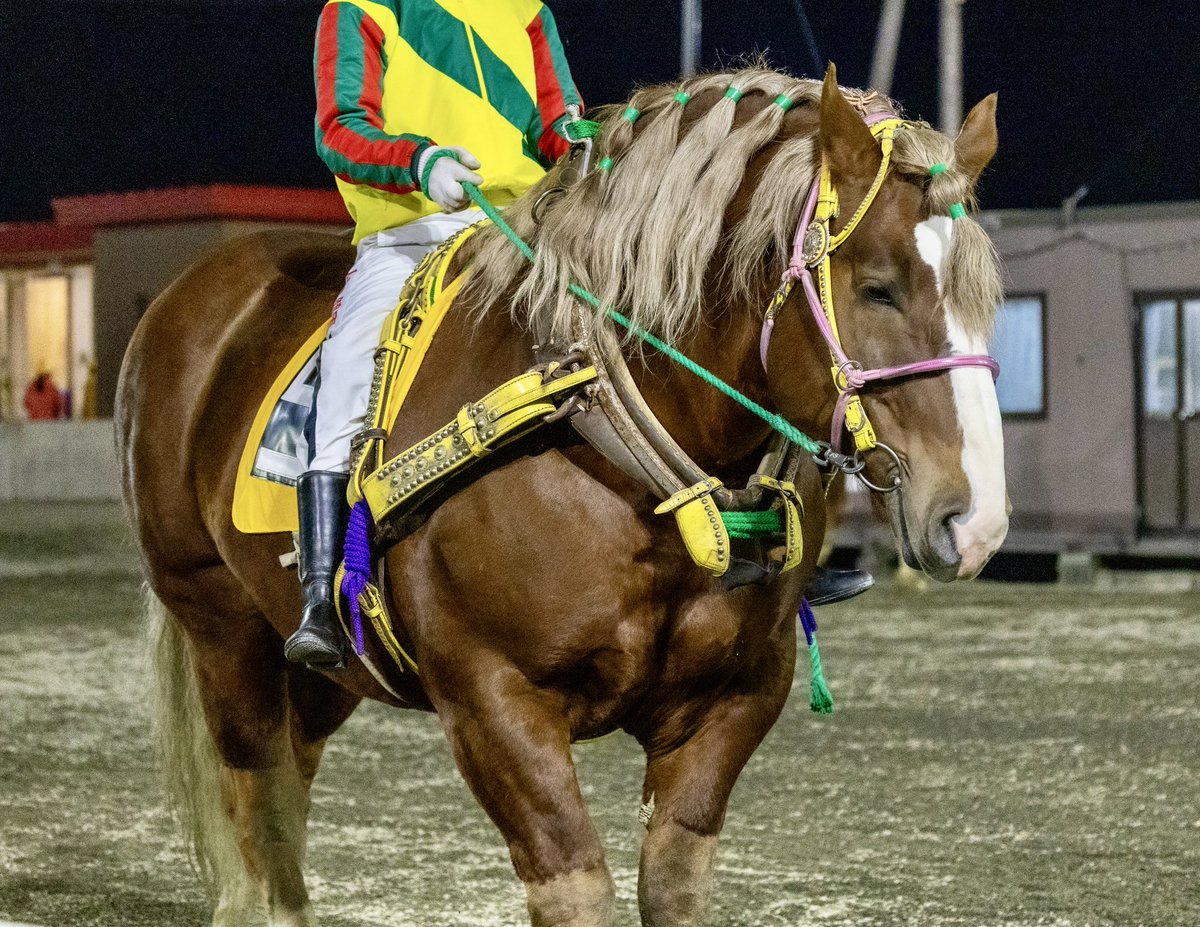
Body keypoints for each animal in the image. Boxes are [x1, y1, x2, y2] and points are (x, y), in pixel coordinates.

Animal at [117, 65, 1007, 927]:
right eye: (880, 288)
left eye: (982, 299)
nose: (977, 520)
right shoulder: (494, 701)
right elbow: (573, 887)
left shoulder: (737, 696)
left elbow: (674, 883)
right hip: (222, 628)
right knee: (258, 807)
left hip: (320, 671)